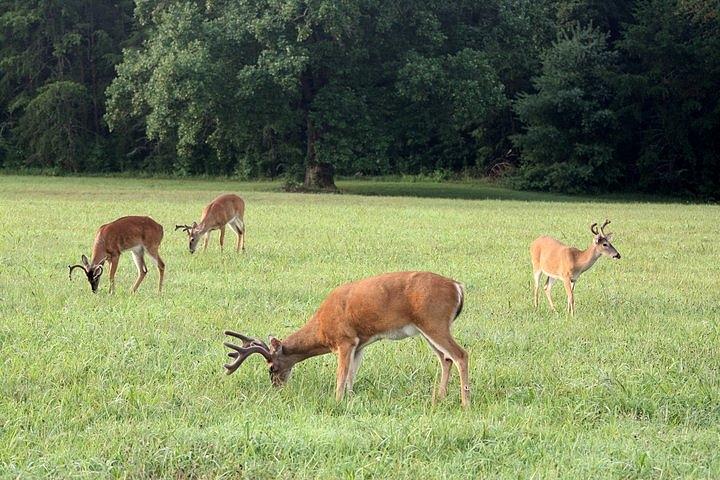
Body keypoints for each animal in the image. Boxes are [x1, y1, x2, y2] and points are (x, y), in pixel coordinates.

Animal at [225, 272, 472, 406]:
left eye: (272, 368)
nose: (277, 387)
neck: (322, 328)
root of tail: (457, 287)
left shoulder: (344, 340)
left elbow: (341, 375)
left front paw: (336, 401)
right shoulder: (360, 343)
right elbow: (352, 374)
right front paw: (350, 399)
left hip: (434, 321)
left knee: (461, 354)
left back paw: (465, 403)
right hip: (428, 328)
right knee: (445, 358)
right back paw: (439, 398)